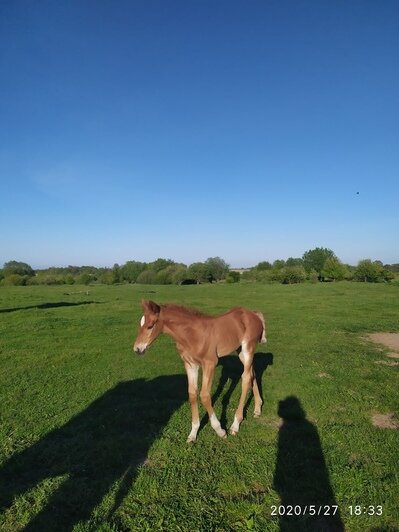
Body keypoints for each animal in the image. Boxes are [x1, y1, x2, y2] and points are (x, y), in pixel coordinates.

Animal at [133, 300, 268, 440]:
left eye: (150, 326)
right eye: (140, 325)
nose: (137, 349)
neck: (191, 335)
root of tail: (254, 314)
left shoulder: (210, 363)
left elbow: (204, 395)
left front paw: (220, 430)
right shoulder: (190, 364)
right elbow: (192, 394)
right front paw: (193, 432)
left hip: (248, 348)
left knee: (246, 379)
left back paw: (235, 424)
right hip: (240, 350)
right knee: (252, 373)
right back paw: (257, 409)